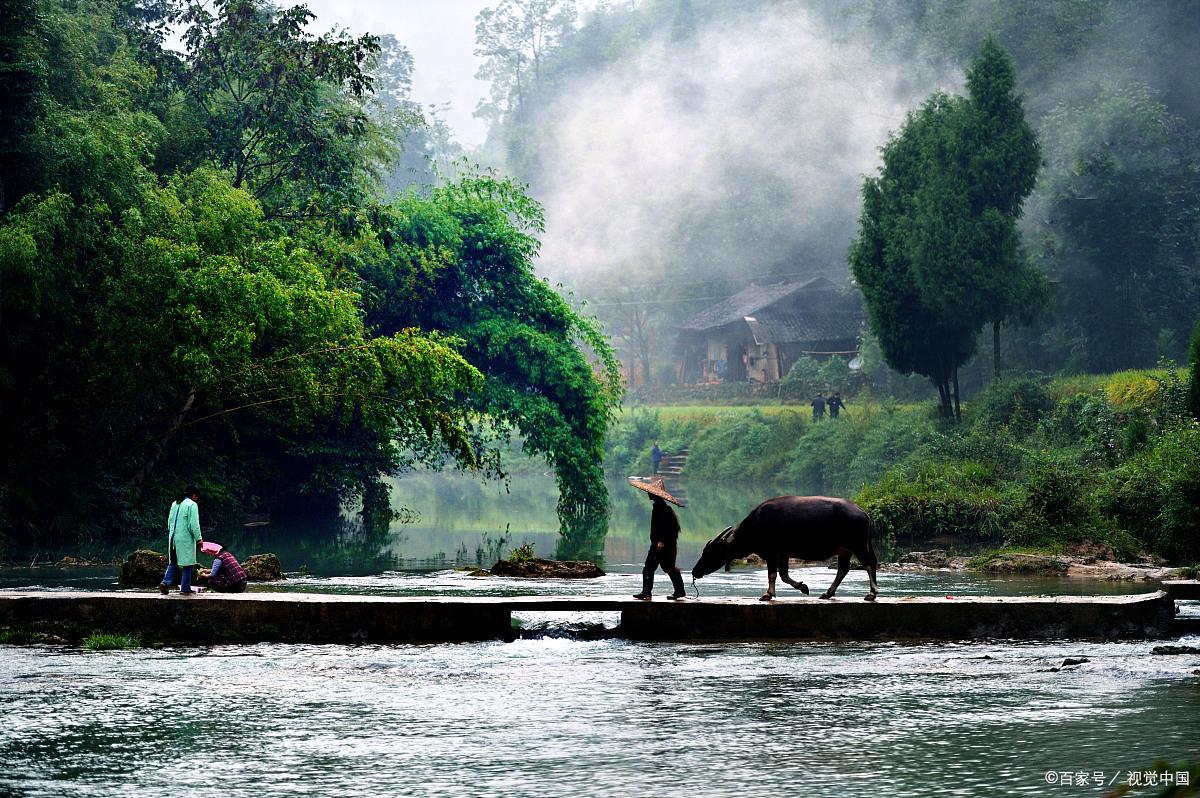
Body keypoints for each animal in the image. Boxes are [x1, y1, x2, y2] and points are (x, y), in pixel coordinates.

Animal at [691, 494, 878, 600]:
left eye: (710, 552)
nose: (695, 571)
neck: (757, 524)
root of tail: (863, 512)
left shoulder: (772, 553)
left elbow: (772, 574)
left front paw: (767, 594)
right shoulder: (783, 554)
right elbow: (784, 575)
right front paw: (803, 587)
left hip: (858, 545)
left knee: (869, 563)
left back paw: (872, 593)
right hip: (844, 550)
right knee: (843, 569)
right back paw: (827, 593)